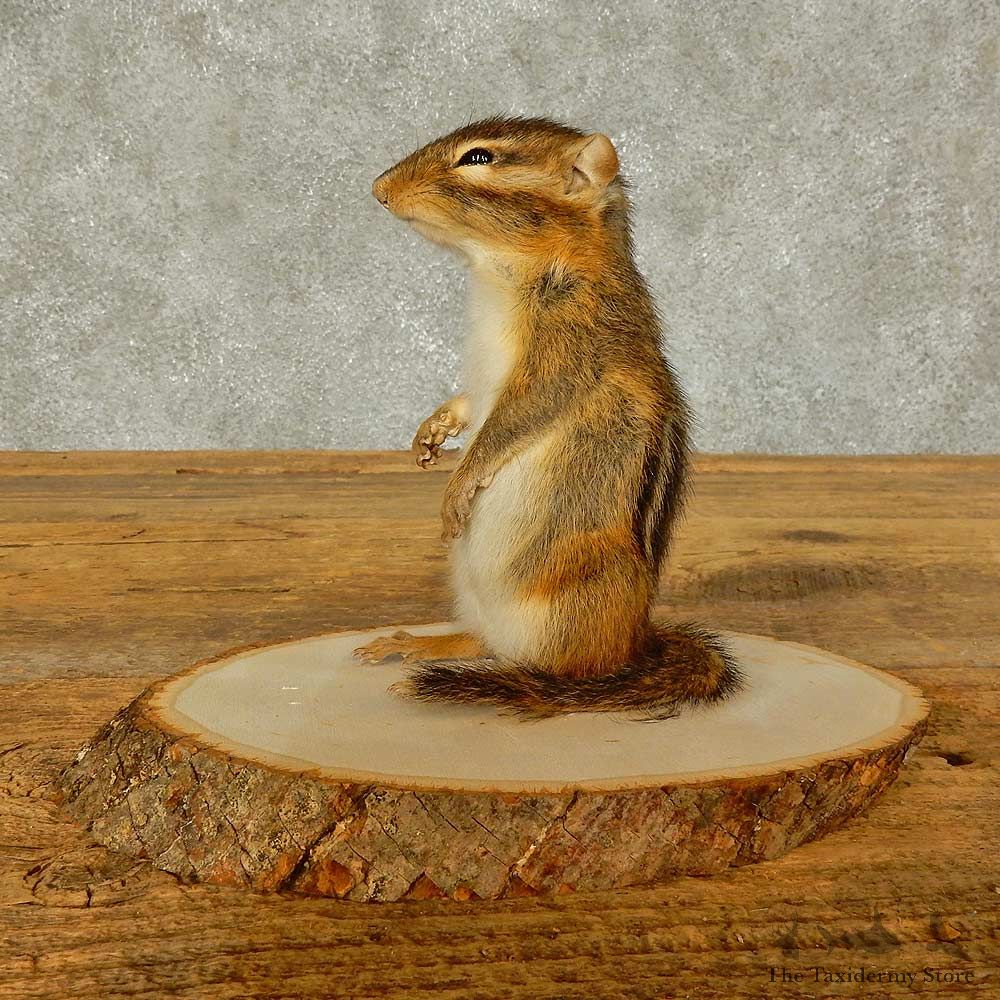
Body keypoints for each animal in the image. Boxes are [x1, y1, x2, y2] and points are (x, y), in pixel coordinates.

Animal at [354, 116, 742, 719]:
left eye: (478, 157)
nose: (379, 189)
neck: (496, 272)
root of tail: (639, 644)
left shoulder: (563, 357)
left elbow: (511, 422)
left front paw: (459, 486)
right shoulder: (484, 380)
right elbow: (470, 404)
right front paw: (433, 431)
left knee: (570, 677)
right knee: (484, 640)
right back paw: (421, 644)